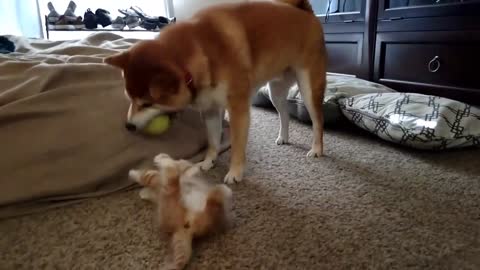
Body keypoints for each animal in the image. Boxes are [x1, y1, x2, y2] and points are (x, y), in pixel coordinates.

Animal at [104, 0, 328, 184]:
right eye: (131, 99)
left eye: (147, 103)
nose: (128, 126)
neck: (199, 52)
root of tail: (306, 12)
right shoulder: (210, 109)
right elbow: (213, 141)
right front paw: (207, 162)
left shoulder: (238, 110)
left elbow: (237, 145)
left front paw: (235, 172)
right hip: (275, 91)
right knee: (284, 114)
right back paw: (284, 136)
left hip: (308, 88)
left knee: (318, 121)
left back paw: (317, 149)